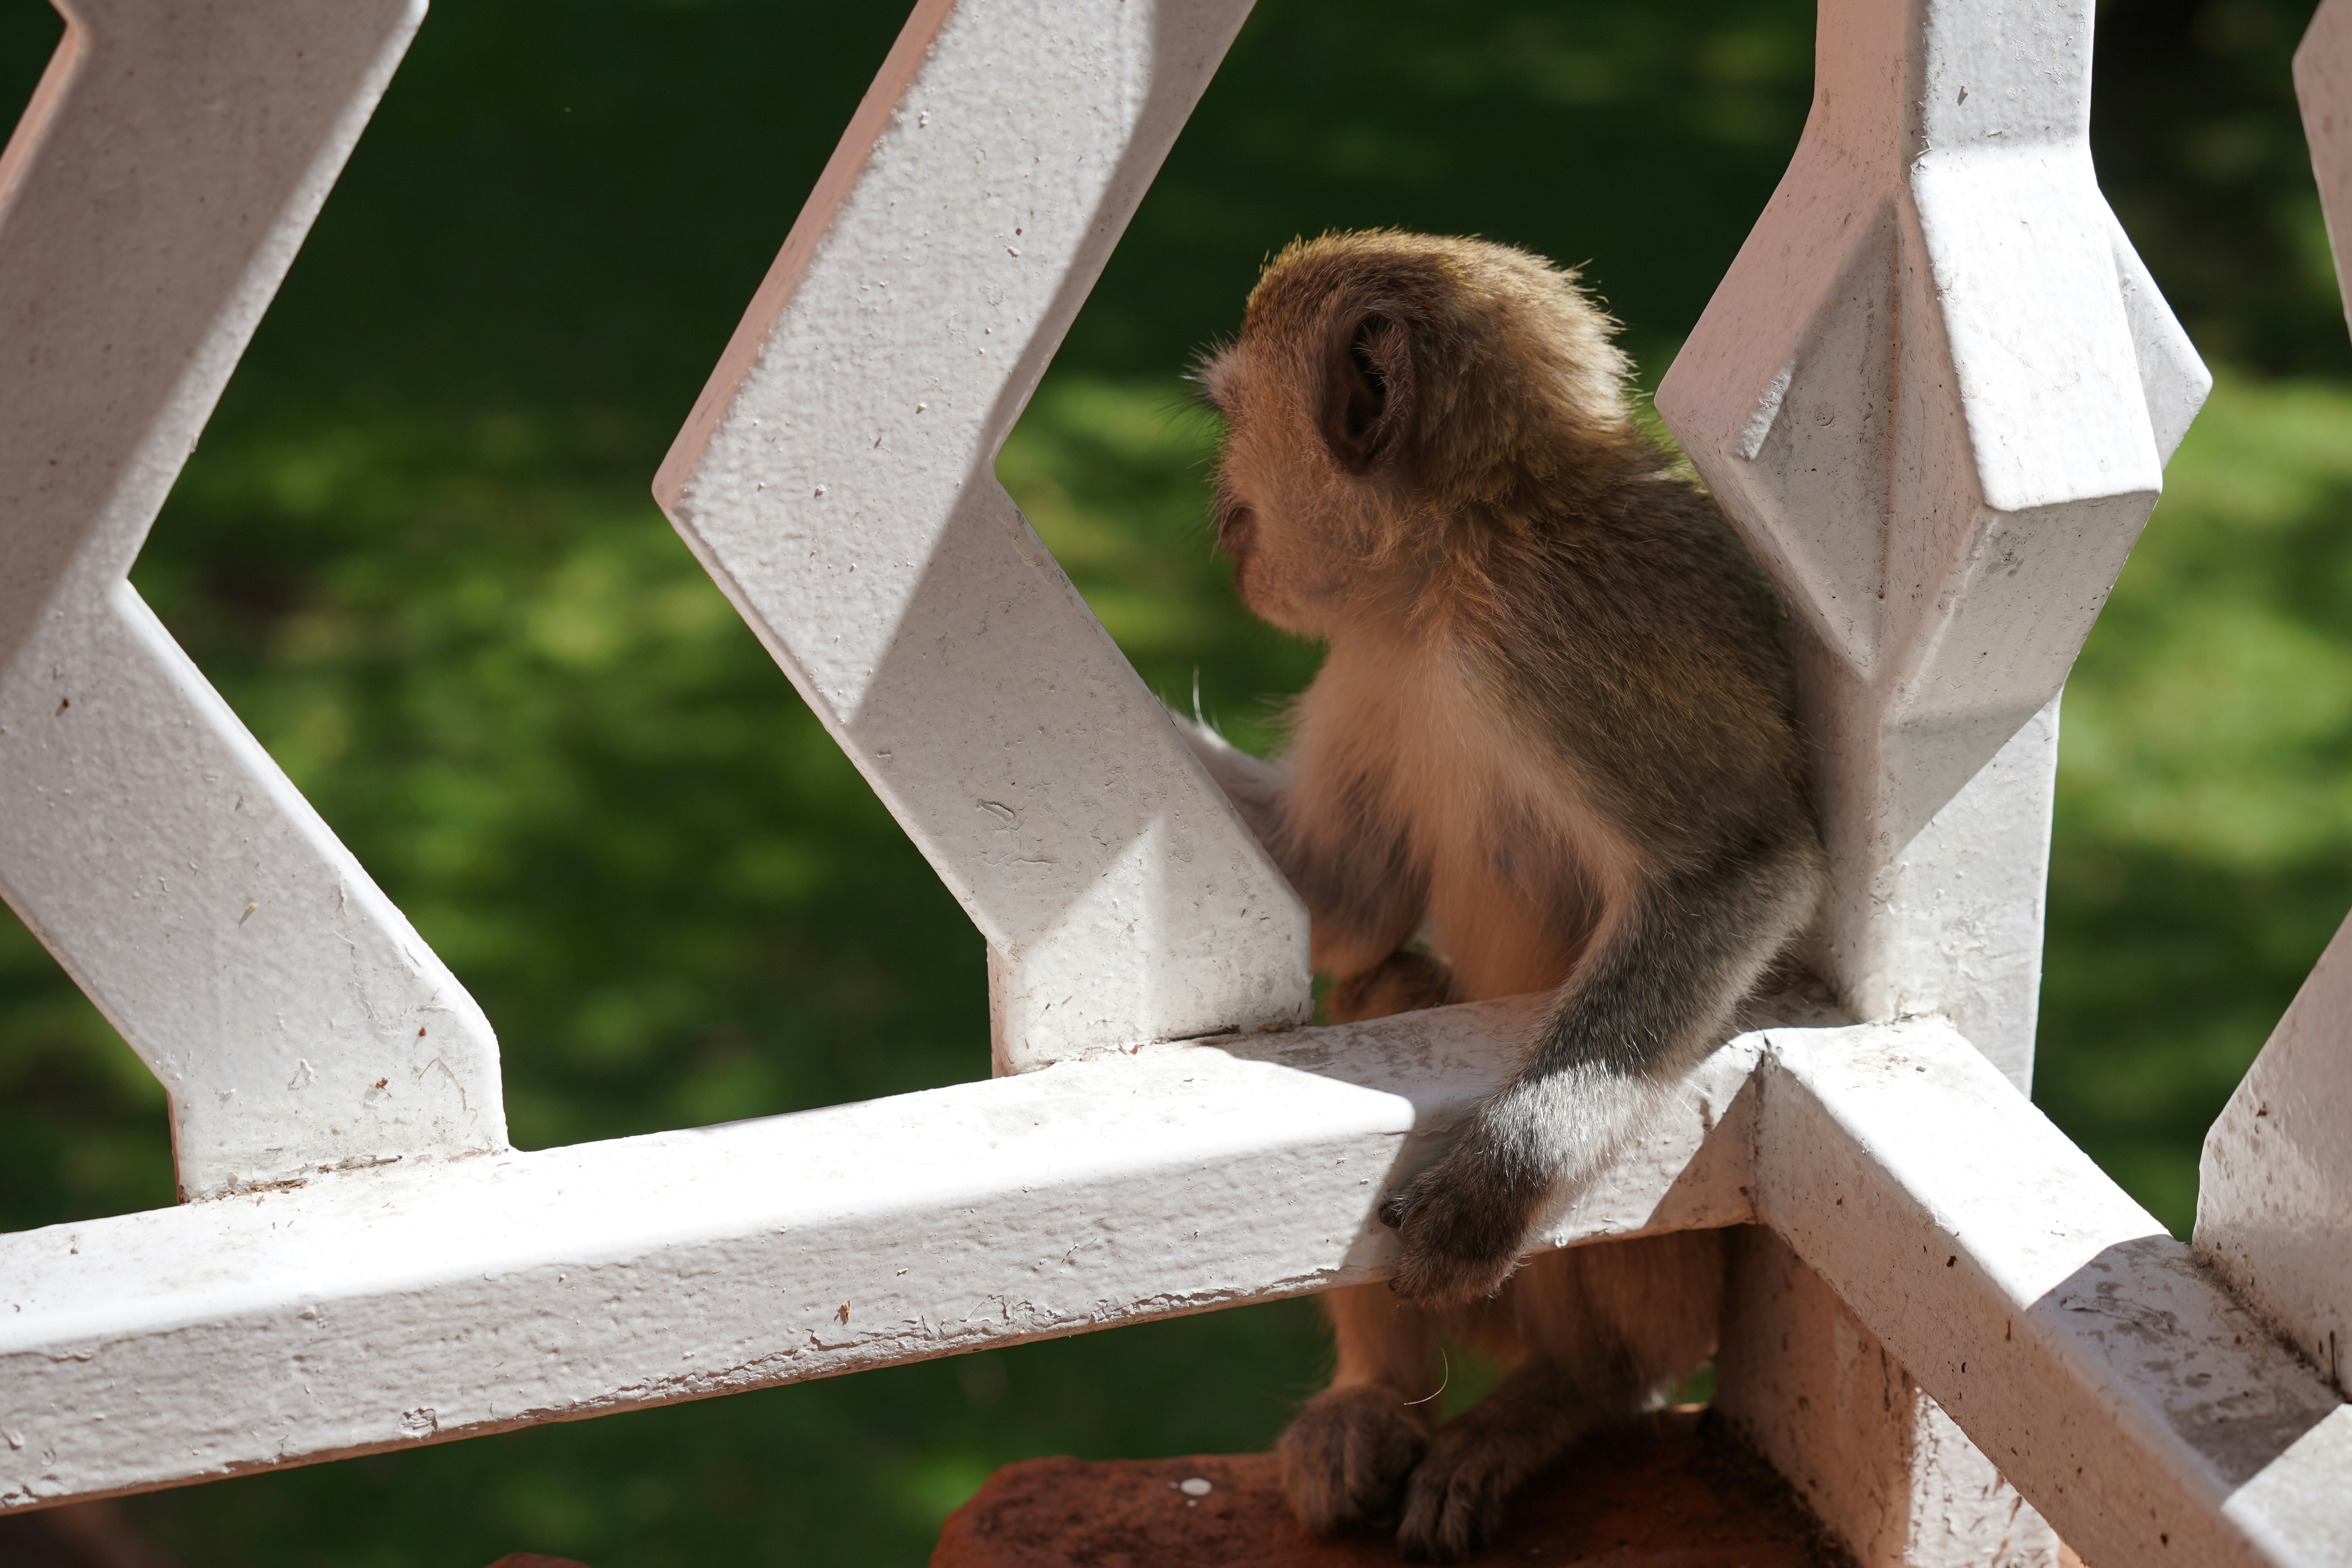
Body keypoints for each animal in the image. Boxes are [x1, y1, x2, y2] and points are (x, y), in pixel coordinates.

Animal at [1175, 231, 1826, 1562]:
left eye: (1229, 422)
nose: (1223, 522)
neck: (1447, 571)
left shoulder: (1558, 627)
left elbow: (1740, 865)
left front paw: (1509, 1168)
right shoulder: (1370, 662)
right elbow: (1349, 906)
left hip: (1670, 1282)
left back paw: (1566, 1398)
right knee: (1386, 979)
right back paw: (1373, 1401)